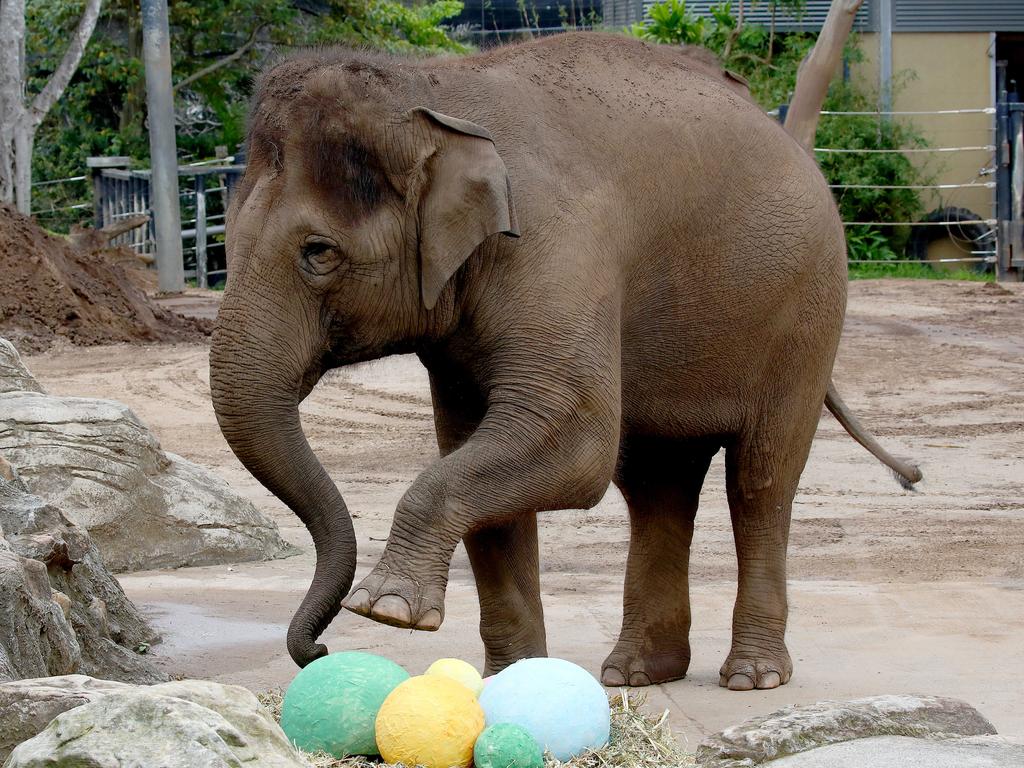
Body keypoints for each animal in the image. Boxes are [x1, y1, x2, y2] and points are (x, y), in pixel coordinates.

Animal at [207, 30, 921, 696]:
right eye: (225, 246)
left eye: (318, 252)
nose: (319, 649)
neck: (433, 89)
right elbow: (478, 454)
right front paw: (508, 684)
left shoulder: (559, 249)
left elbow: (572, 446)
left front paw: (386, 610)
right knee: (656, 486)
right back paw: (637, 673)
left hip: (807, 316)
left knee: (760, 481)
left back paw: (751, 676)